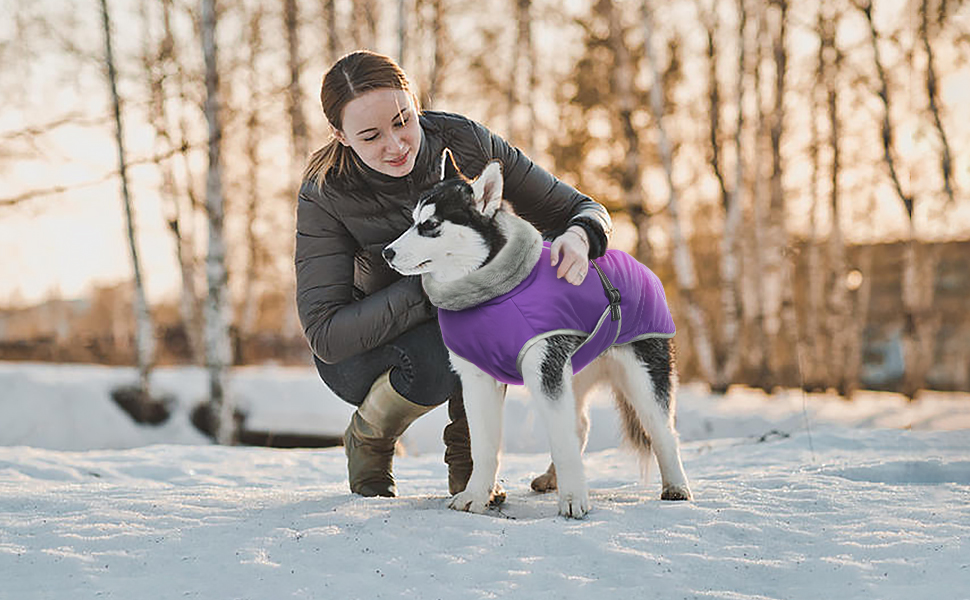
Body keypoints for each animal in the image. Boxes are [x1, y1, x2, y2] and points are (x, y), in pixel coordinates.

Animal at [382, 150, 692, 516]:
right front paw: (476, 495)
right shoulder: (477, 378)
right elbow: (483, 446)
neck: (492, 294)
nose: (387, 252)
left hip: (641, 376)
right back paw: (551, 478)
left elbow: (561, 441)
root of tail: (640, 265)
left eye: (430, 225)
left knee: (662, 430)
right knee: (579, 426)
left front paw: (573, 499)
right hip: (575, 371)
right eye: (413, 220)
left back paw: (676, 485)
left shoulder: (544, 372)